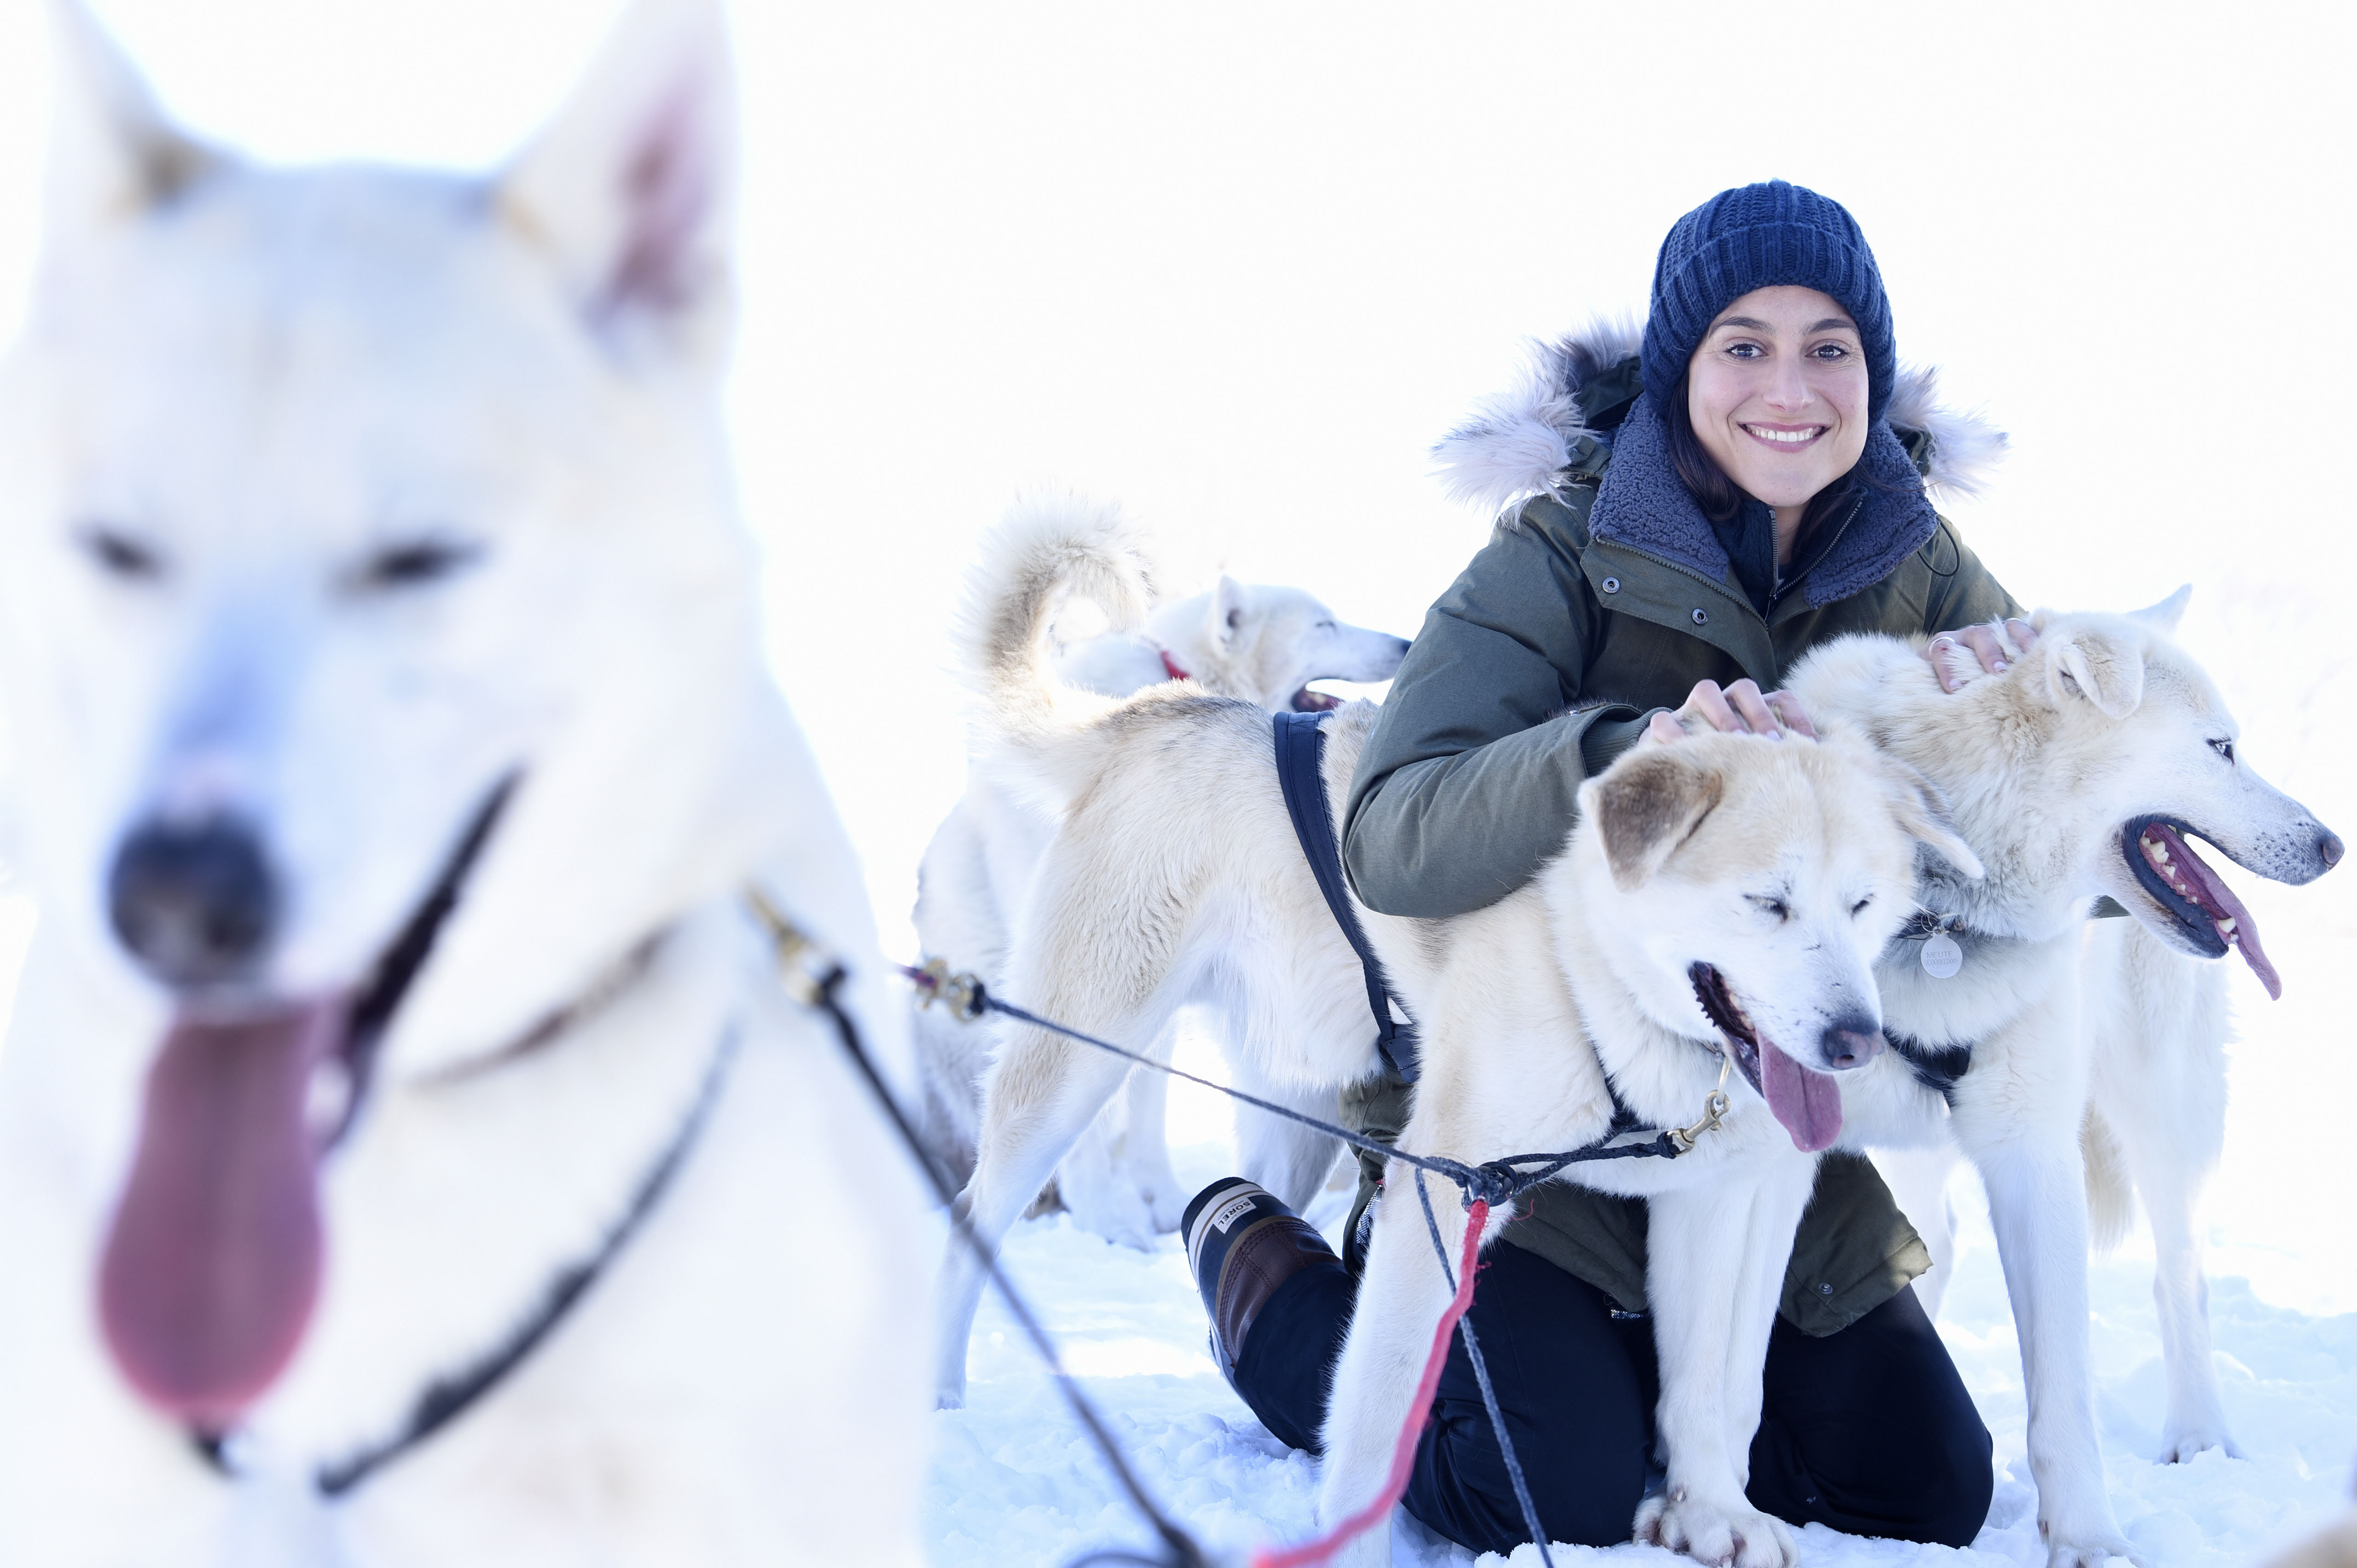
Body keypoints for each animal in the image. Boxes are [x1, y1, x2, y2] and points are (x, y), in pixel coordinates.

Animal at [1782, 601, 2338, 1565]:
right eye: (2221, 747)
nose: (2331, 843)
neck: (1936, 910)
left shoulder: (2032, 1154)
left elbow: (2063, 1396)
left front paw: (2089, 1542)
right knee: (1931, 1246)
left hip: (2163, 1108)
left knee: (2181, 1278)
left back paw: (2199, 1437)